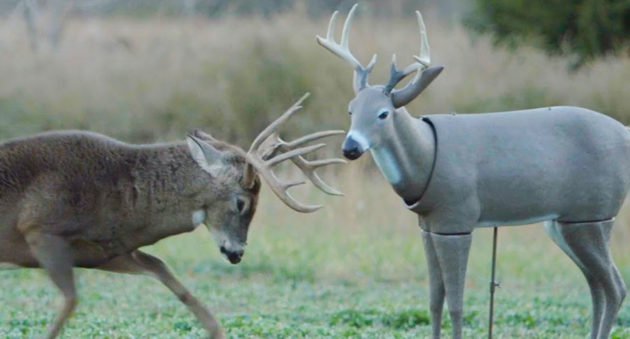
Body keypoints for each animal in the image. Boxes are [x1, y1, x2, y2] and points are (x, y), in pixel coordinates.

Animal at [0, 93, 346, 339]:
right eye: (241, 203)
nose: (237, 253)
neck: (118, 193)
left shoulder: (107, 251)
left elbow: (166, 273)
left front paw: (217, 330)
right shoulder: (40, 229)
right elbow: (71, 300)